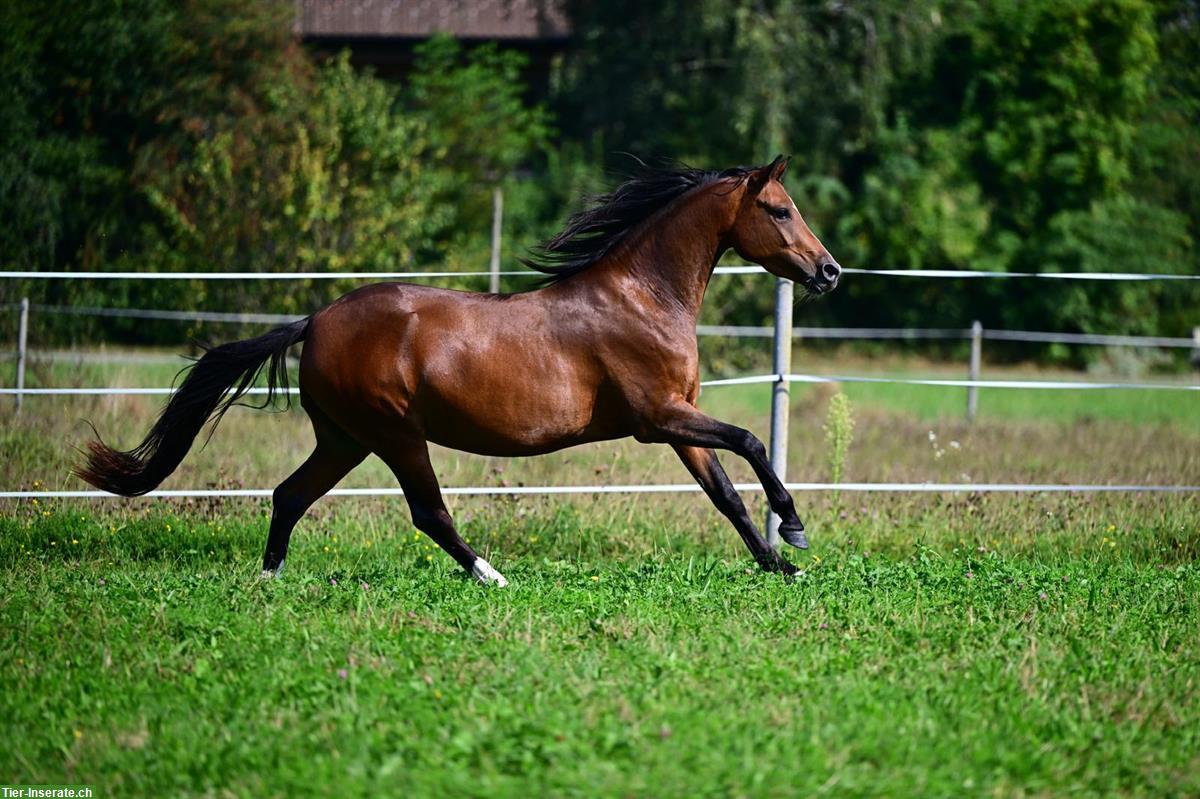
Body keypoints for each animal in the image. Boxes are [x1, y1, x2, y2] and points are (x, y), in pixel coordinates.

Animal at [79, 155, 840, 583]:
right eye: (780, 210)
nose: (829, 271)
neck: (642, 295)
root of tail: (314, 322)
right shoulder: (659, 417)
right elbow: (752, 442)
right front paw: (796, 529)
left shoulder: (678, 422)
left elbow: (727, 495)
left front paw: (783, 566)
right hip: (394, 434)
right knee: (429, 512)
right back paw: (491, 577)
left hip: (345, 438)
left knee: (289, 495)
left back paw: (268, 582)